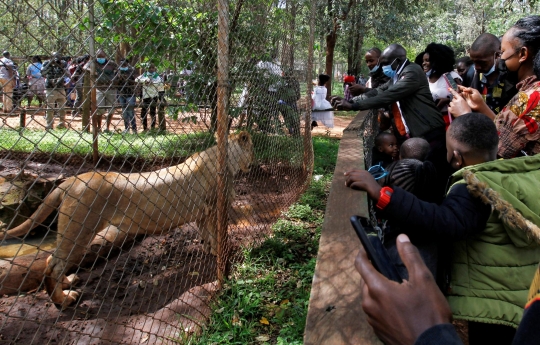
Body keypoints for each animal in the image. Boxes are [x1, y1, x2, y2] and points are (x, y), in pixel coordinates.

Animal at [1, 130, 254, 308]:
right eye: (251, 146)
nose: (253, 160)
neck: (224, 157)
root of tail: (70, 181)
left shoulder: (202, 212)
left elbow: (206, 234)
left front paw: (210, 249)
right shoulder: (216, 208)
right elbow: (216, 233)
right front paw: (221, 252)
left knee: (50, 260)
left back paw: (68, 283)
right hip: (79, 230)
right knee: (53, 263)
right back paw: (63, 300)